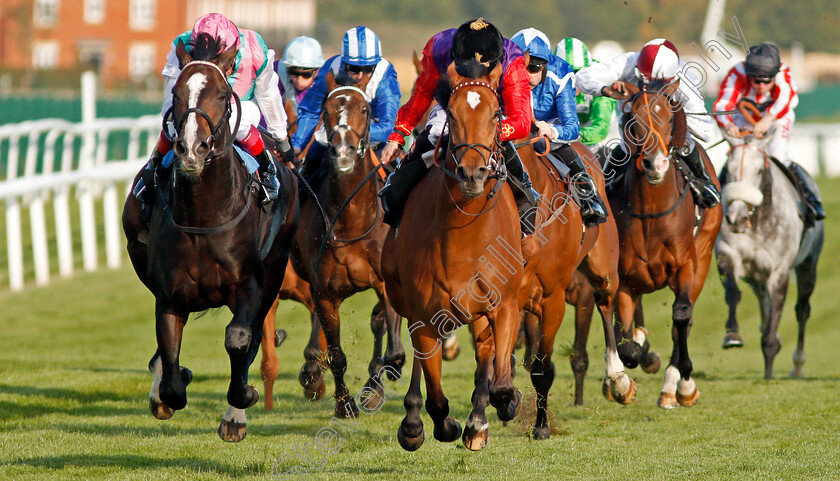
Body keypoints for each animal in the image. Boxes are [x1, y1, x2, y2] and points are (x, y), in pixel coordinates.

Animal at [121, 38, 298, 442]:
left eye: (220, 93)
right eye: (177, 92)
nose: (191, 148)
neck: (204, 216)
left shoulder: (250, 285)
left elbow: (239, 339)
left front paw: (242, 400)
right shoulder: (169, 295)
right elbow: (171, 374)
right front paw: (171, 384)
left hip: (274, 272)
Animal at [290, 70, 406, 416]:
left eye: (365, 110)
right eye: (326, 111)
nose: (343, 152)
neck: (352, 220)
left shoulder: (386, 283)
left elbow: (393, 346)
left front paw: (383, 377)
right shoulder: (325, 292)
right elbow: (337, 354)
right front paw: (344, 405)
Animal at [604, 80, 720, 406]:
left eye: (668, 118)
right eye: (634, 119)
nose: (654, 163)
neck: (651, 212)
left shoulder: (686, 265)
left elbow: (681, 315)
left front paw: (685, 384)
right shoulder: (625, 280)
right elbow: (627, 345)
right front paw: (625, 380)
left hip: (704, 254)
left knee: (684, 320)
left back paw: (672, 386)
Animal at [712, 106, 824, 378]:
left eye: (759, 171)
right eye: (728, 170)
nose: (736, 217)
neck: (758, 222)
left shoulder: (779, 272)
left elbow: (776, 317)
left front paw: (770, 370)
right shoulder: (727, 254)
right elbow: (733, 292)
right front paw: (732, 335)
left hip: (808, 265)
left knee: (802, 311)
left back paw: (797, 366)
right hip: (756, 278)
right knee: (763, 303)